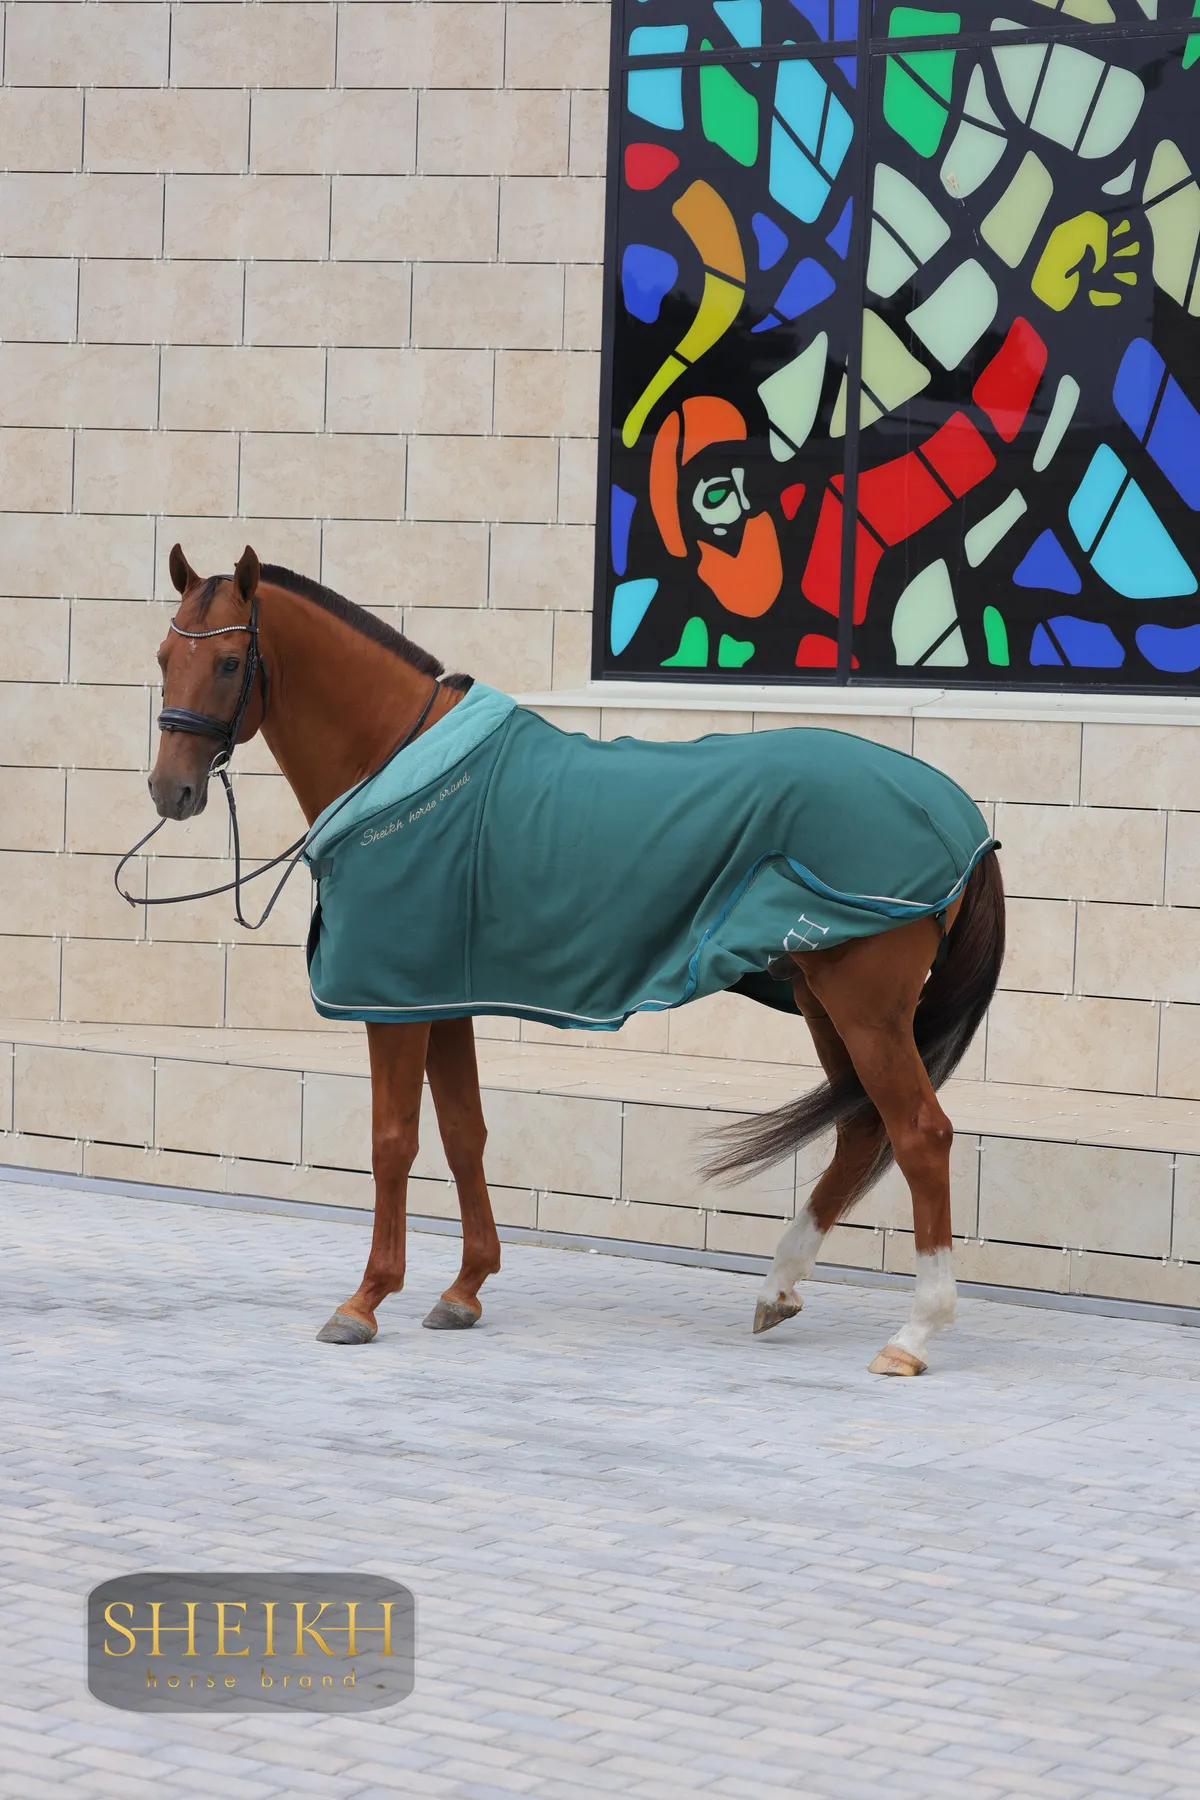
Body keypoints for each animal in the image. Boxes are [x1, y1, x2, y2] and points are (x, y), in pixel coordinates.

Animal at [146, 543, 1005, 1376]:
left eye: (229, 662)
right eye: (161, 656)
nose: (169, 790)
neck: (398, 762)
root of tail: (958, 816)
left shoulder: (392, 1003)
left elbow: (394, 1141)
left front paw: (364, 1301)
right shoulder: (439, 996)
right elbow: (463, 1131)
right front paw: (464, 1289)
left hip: (865, 1008)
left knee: (920, 1135)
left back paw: (914, 1332)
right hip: (821, 996)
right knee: (861, 1131)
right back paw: (780, 1286)